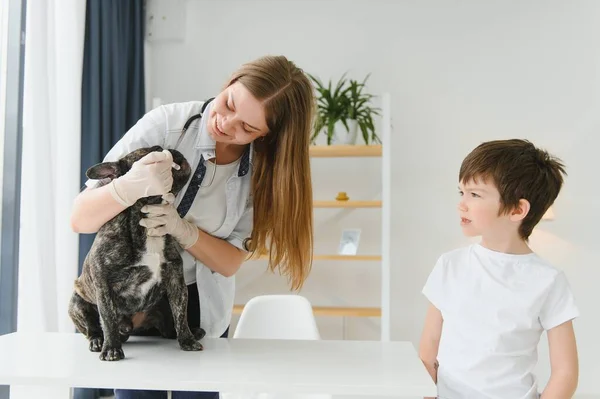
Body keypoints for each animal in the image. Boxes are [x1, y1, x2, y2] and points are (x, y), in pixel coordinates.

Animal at [68, 147, 206, 362]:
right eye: (152, 152)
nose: (169, 149)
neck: (145, 222)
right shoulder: (104, 285)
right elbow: (107, 317)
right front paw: (111, 349)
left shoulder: (175, 280)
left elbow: (181, 312)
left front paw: (187, 339)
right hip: (77, 302)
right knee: (94, 327)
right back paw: (98, 341)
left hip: (162, 305)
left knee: (169, 327)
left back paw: (192, 332)